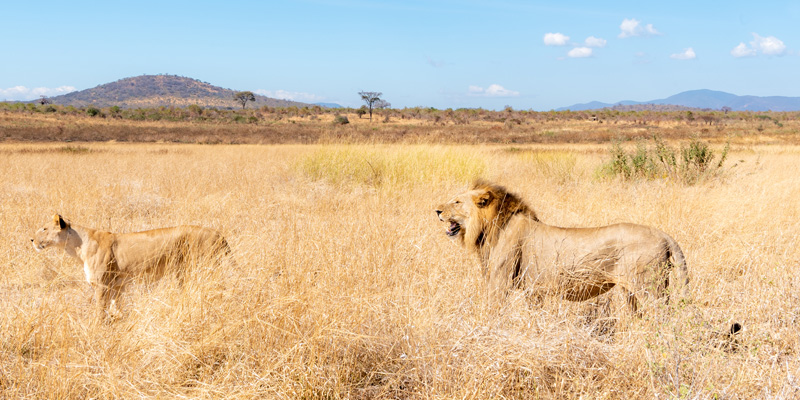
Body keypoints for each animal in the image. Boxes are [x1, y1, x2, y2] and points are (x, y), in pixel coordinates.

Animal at [31, 214, 231, 320]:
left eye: (44, 229)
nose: (32, 239)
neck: (77, 246)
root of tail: (219, 234)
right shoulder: (118, 285)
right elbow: (116, 307)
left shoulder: (101, 285)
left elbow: (100, 310)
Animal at [434, 182, 692, 312]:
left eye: (456, 201)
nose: (437, 210)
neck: (489, 228)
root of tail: (664, 235)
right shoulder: (534, 290)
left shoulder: (500, 281)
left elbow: (493, 310)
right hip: (630, 292)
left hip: (650, 288)